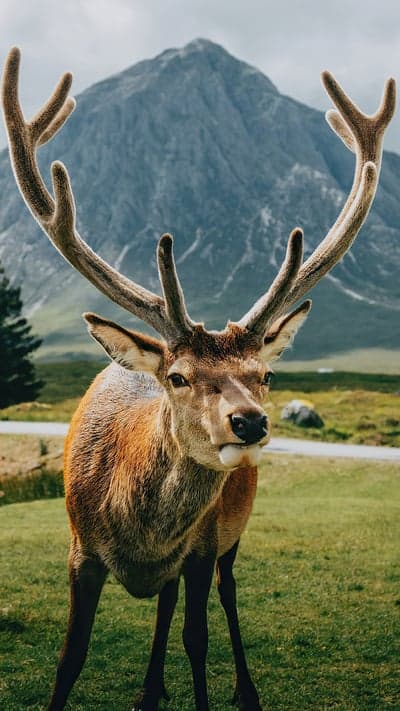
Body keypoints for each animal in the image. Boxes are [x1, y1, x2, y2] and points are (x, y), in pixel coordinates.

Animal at [1, 46, 395, 711]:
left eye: (265, 374)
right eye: (179, 377)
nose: (250, 421)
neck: (139, 536)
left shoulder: (200, 545)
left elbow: (198, 640)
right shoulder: (80, 548)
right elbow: (70, 657)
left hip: (233, 532)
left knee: (225, 592)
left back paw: (241, 688)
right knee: (161, 606)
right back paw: (150, 688)